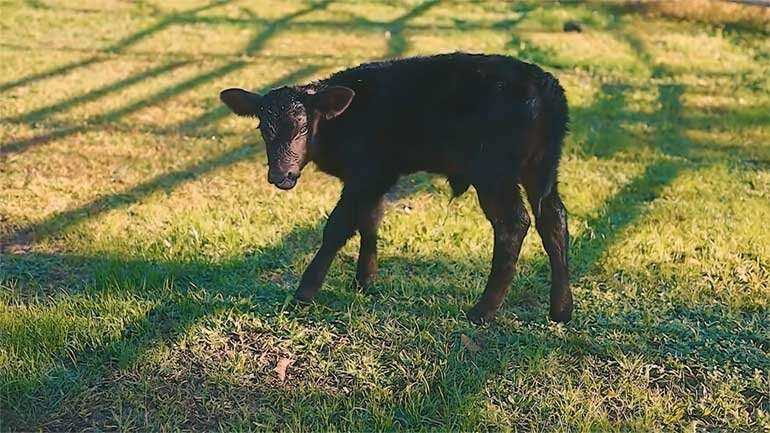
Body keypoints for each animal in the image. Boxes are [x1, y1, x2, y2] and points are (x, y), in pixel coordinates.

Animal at [218, 51, 568, 320]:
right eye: (264, 129)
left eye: (303, 127)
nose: (281, 175)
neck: (341, 123)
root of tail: (546, 88)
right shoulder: (376, 177)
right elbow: (370, 220)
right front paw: (365, 281)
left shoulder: (366, 174)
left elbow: (338, 227)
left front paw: (305, 292)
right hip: (541, 168)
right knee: (554, 220)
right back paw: (561, 309)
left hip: (494, 172)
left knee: (513, 224)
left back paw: (483, 311)